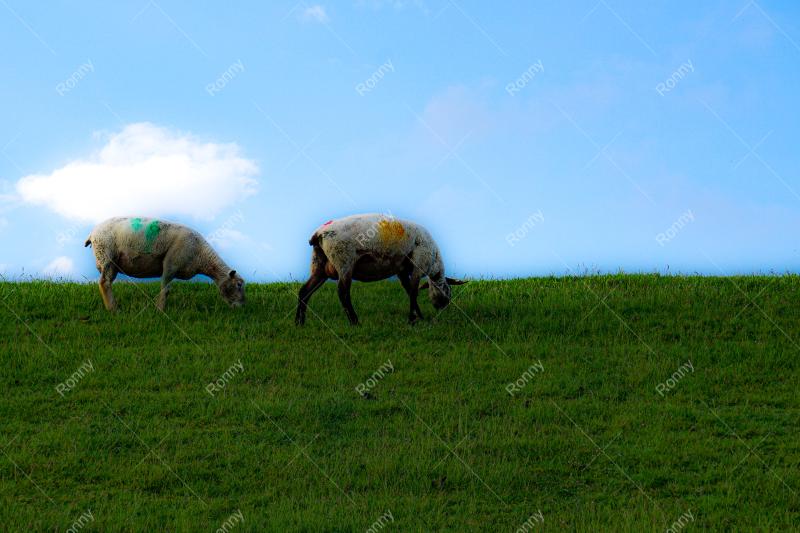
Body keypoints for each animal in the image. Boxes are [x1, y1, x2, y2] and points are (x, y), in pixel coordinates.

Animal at [85, 217, 245, 311]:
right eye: (239, 285)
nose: (242, 306)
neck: (202, 256)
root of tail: (92, 233)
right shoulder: (171, 264)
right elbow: (165, 289)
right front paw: (160, 310)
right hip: (107, 256)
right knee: (105, 283)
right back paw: (113, 309)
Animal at [295, 213, 466, 325]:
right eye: (449, 291)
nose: (444, 308)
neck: (434, 264)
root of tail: (319, 233)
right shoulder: (419, 264)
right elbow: (413, 292)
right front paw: (412, 319)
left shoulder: (401, 270)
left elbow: (408, 290)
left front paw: (419, 316)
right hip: (344, 260)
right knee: (343, 293)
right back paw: (355, 322)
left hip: (319, 265)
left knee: (304, 291)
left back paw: (299, 322)